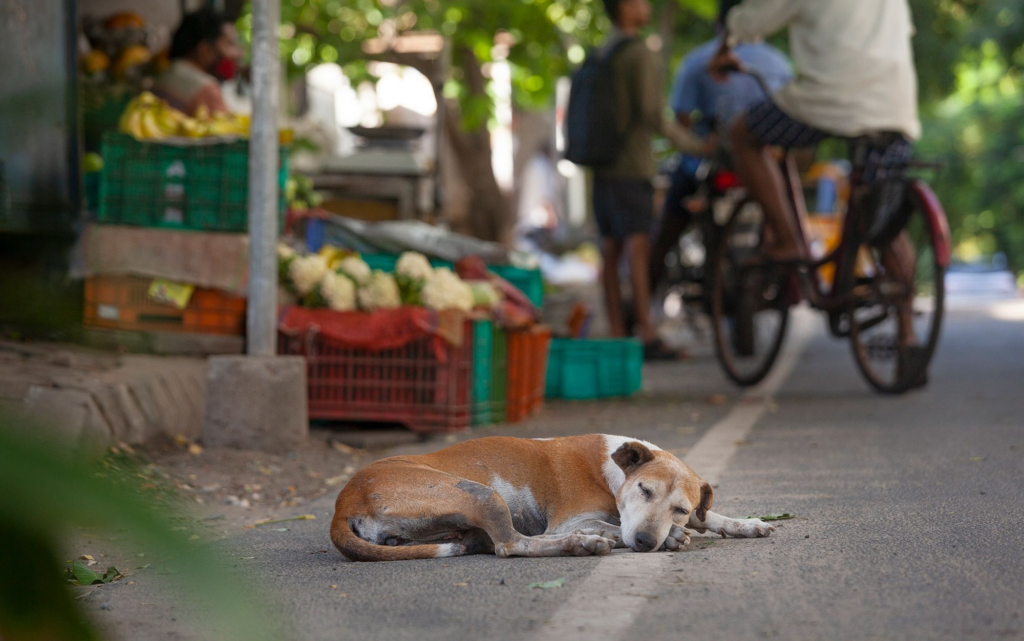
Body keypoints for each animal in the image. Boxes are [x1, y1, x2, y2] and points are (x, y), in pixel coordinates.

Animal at [331, 434, 770, 557]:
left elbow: (708, 514)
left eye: (679, 507)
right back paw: (583, 543)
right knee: (512, 544)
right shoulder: (569, 518)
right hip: (482, 494)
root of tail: (344, 500)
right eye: (644, 489)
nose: (646, 541)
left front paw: (744, 524)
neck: (610, 470)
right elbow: (607, 525)